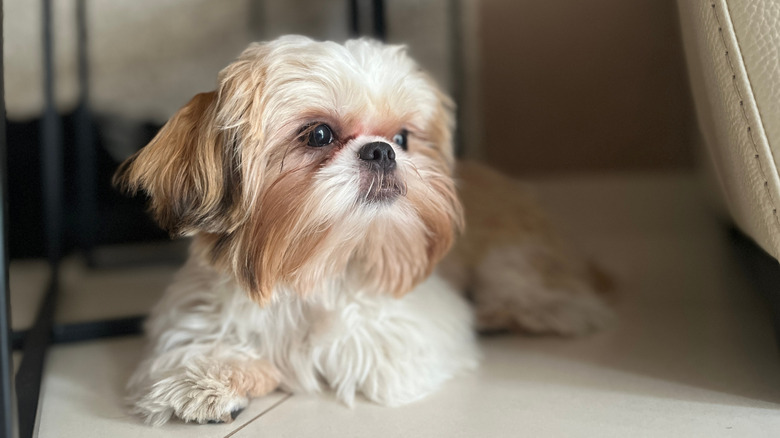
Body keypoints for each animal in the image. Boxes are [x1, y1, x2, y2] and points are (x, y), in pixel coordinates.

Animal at [116, 36, 616, 426]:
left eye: (403, 138)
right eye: (319, 134)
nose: (381, 151)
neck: (311, 265)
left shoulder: (401, 332)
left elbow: (344, 349)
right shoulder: (197, 309)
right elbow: (197, 343)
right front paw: (206, 380)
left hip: (512, 261)